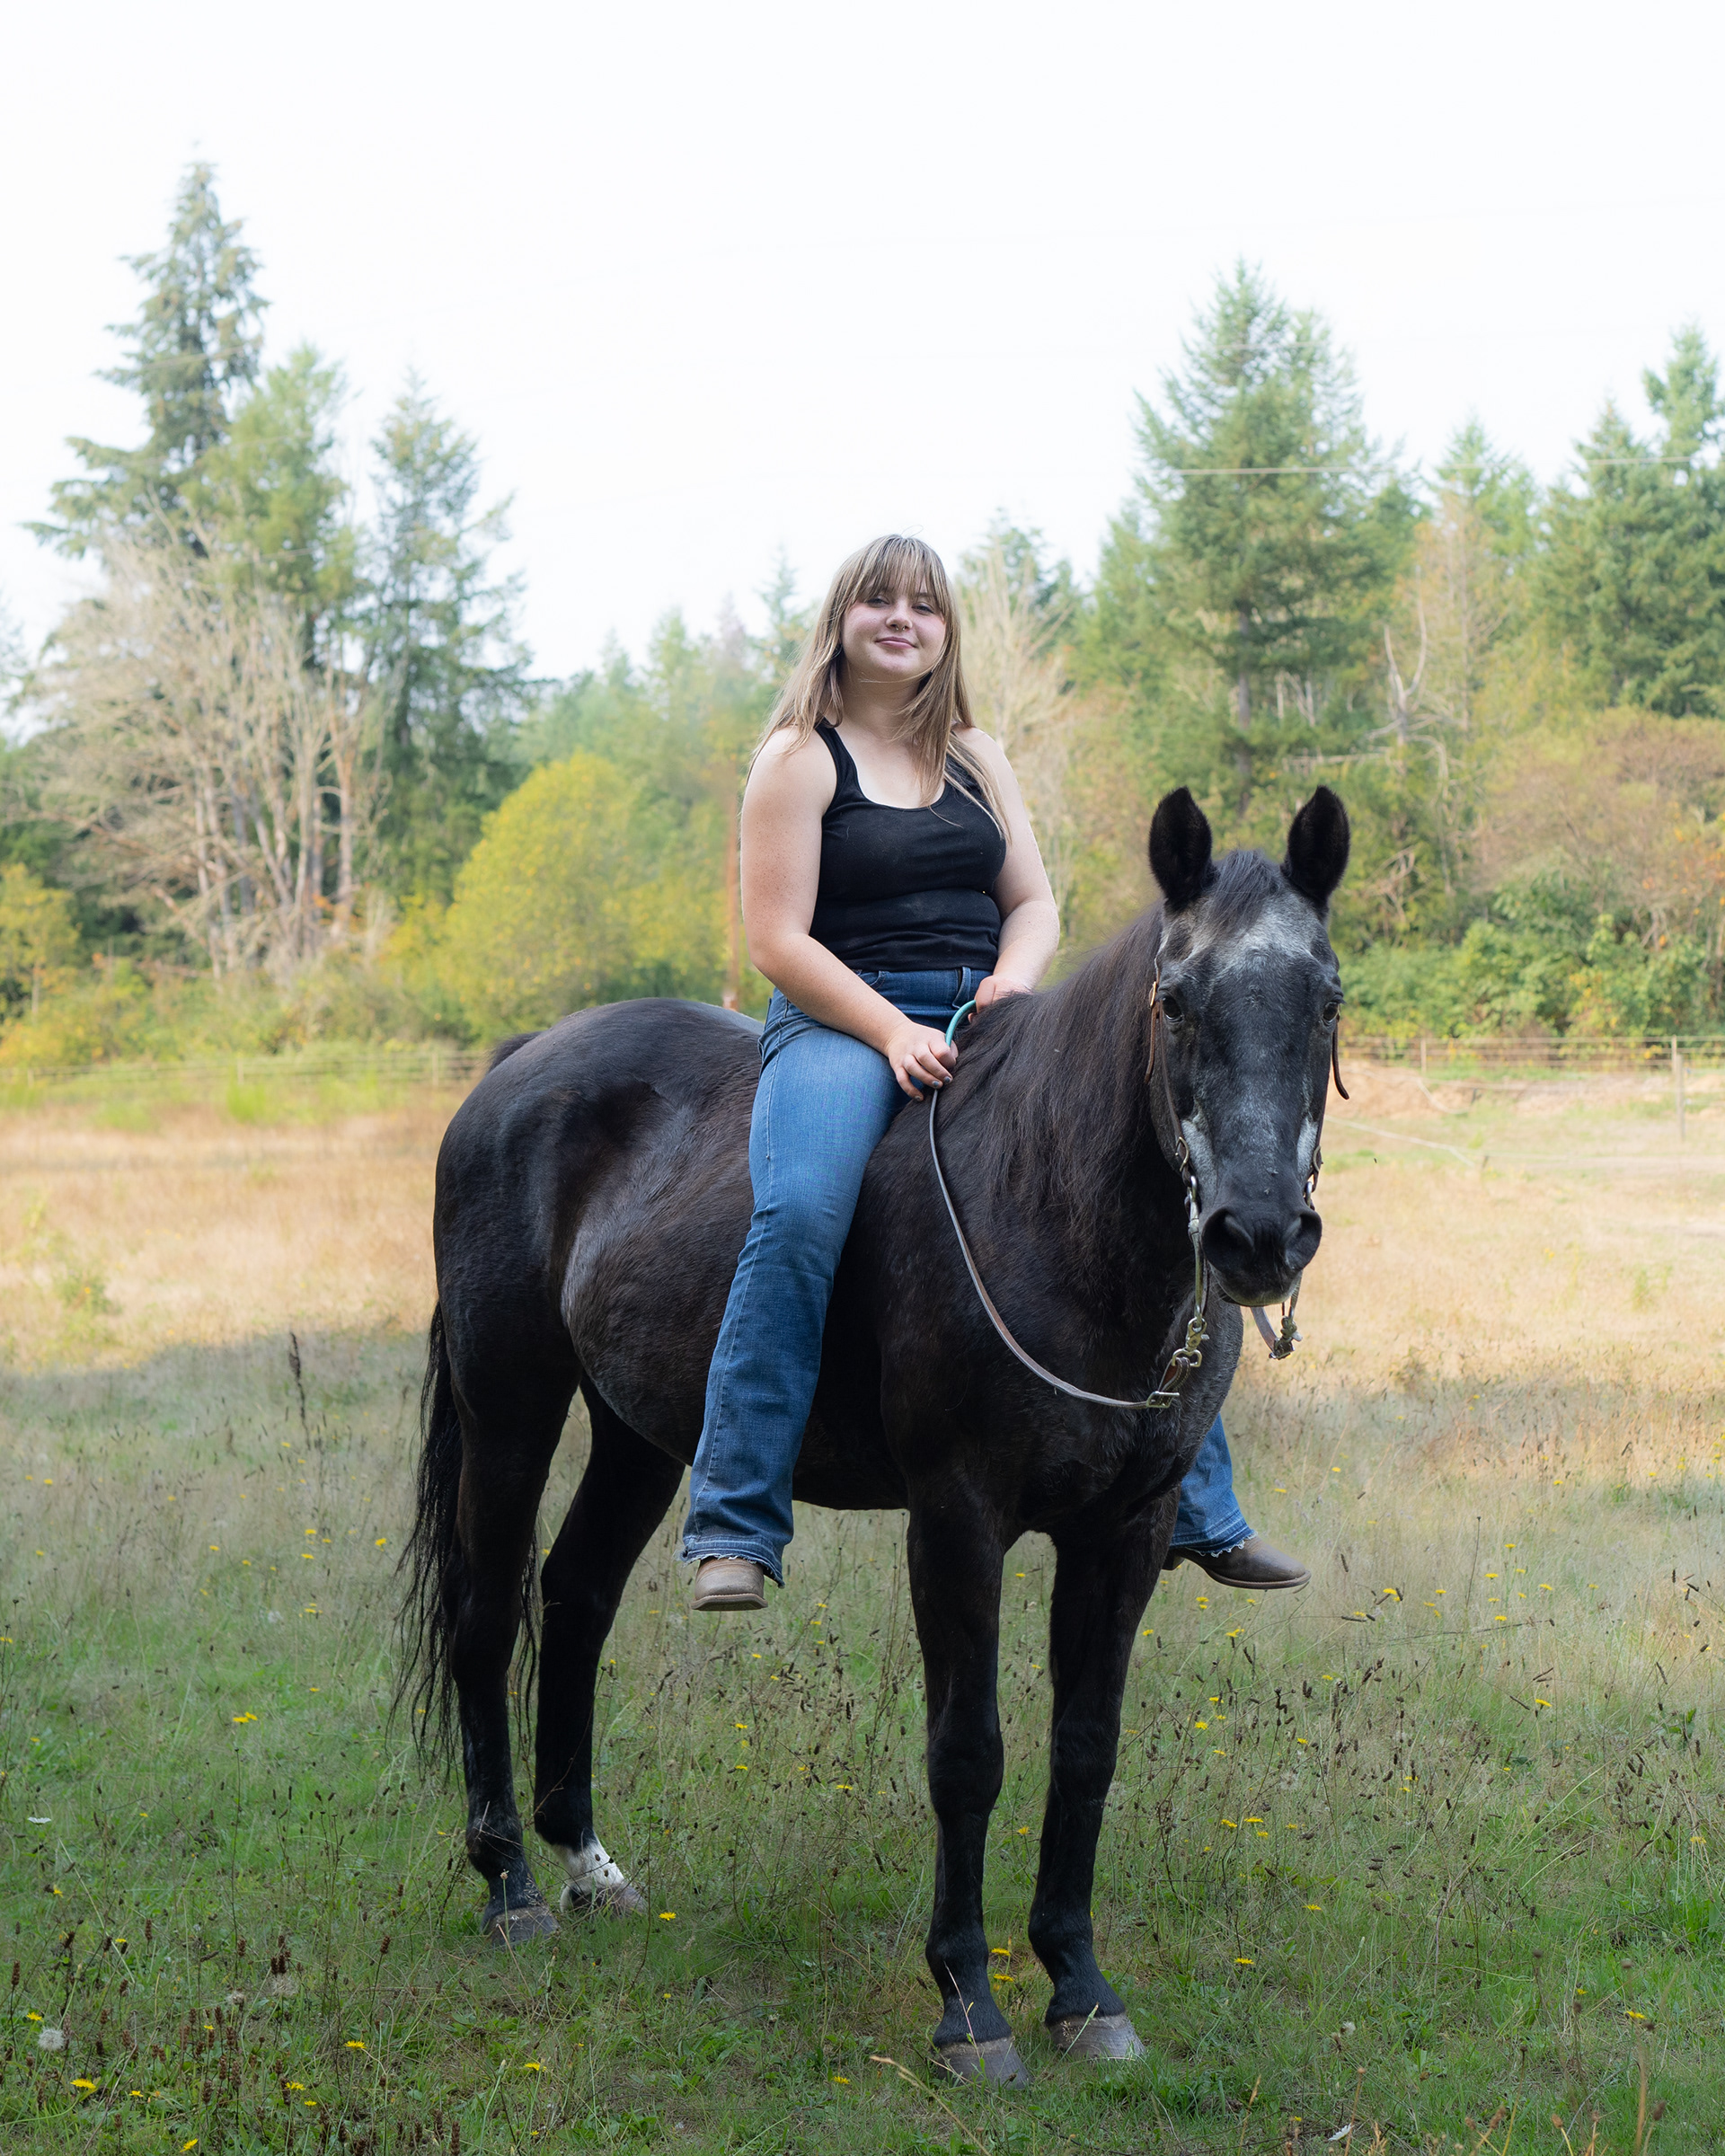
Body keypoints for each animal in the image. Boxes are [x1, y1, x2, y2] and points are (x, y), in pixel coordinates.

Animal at [399, 782, 1350, 2085]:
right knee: (490, 1616)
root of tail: (518, 1065)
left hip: (644, 1431)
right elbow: (968, 1752)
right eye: (1174, 1000)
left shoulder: (1126, 1532)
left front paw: (1080, 1989)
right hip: (511, 1409)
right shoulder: (956, 1521)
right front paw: (970, 2006)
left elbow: (1086, 1748)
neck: (1044, 1203)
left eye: (1328, 1001)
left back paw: (586, 1864)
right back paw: (510, 1888)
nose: (1256, 1238)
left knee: (577, 1595)